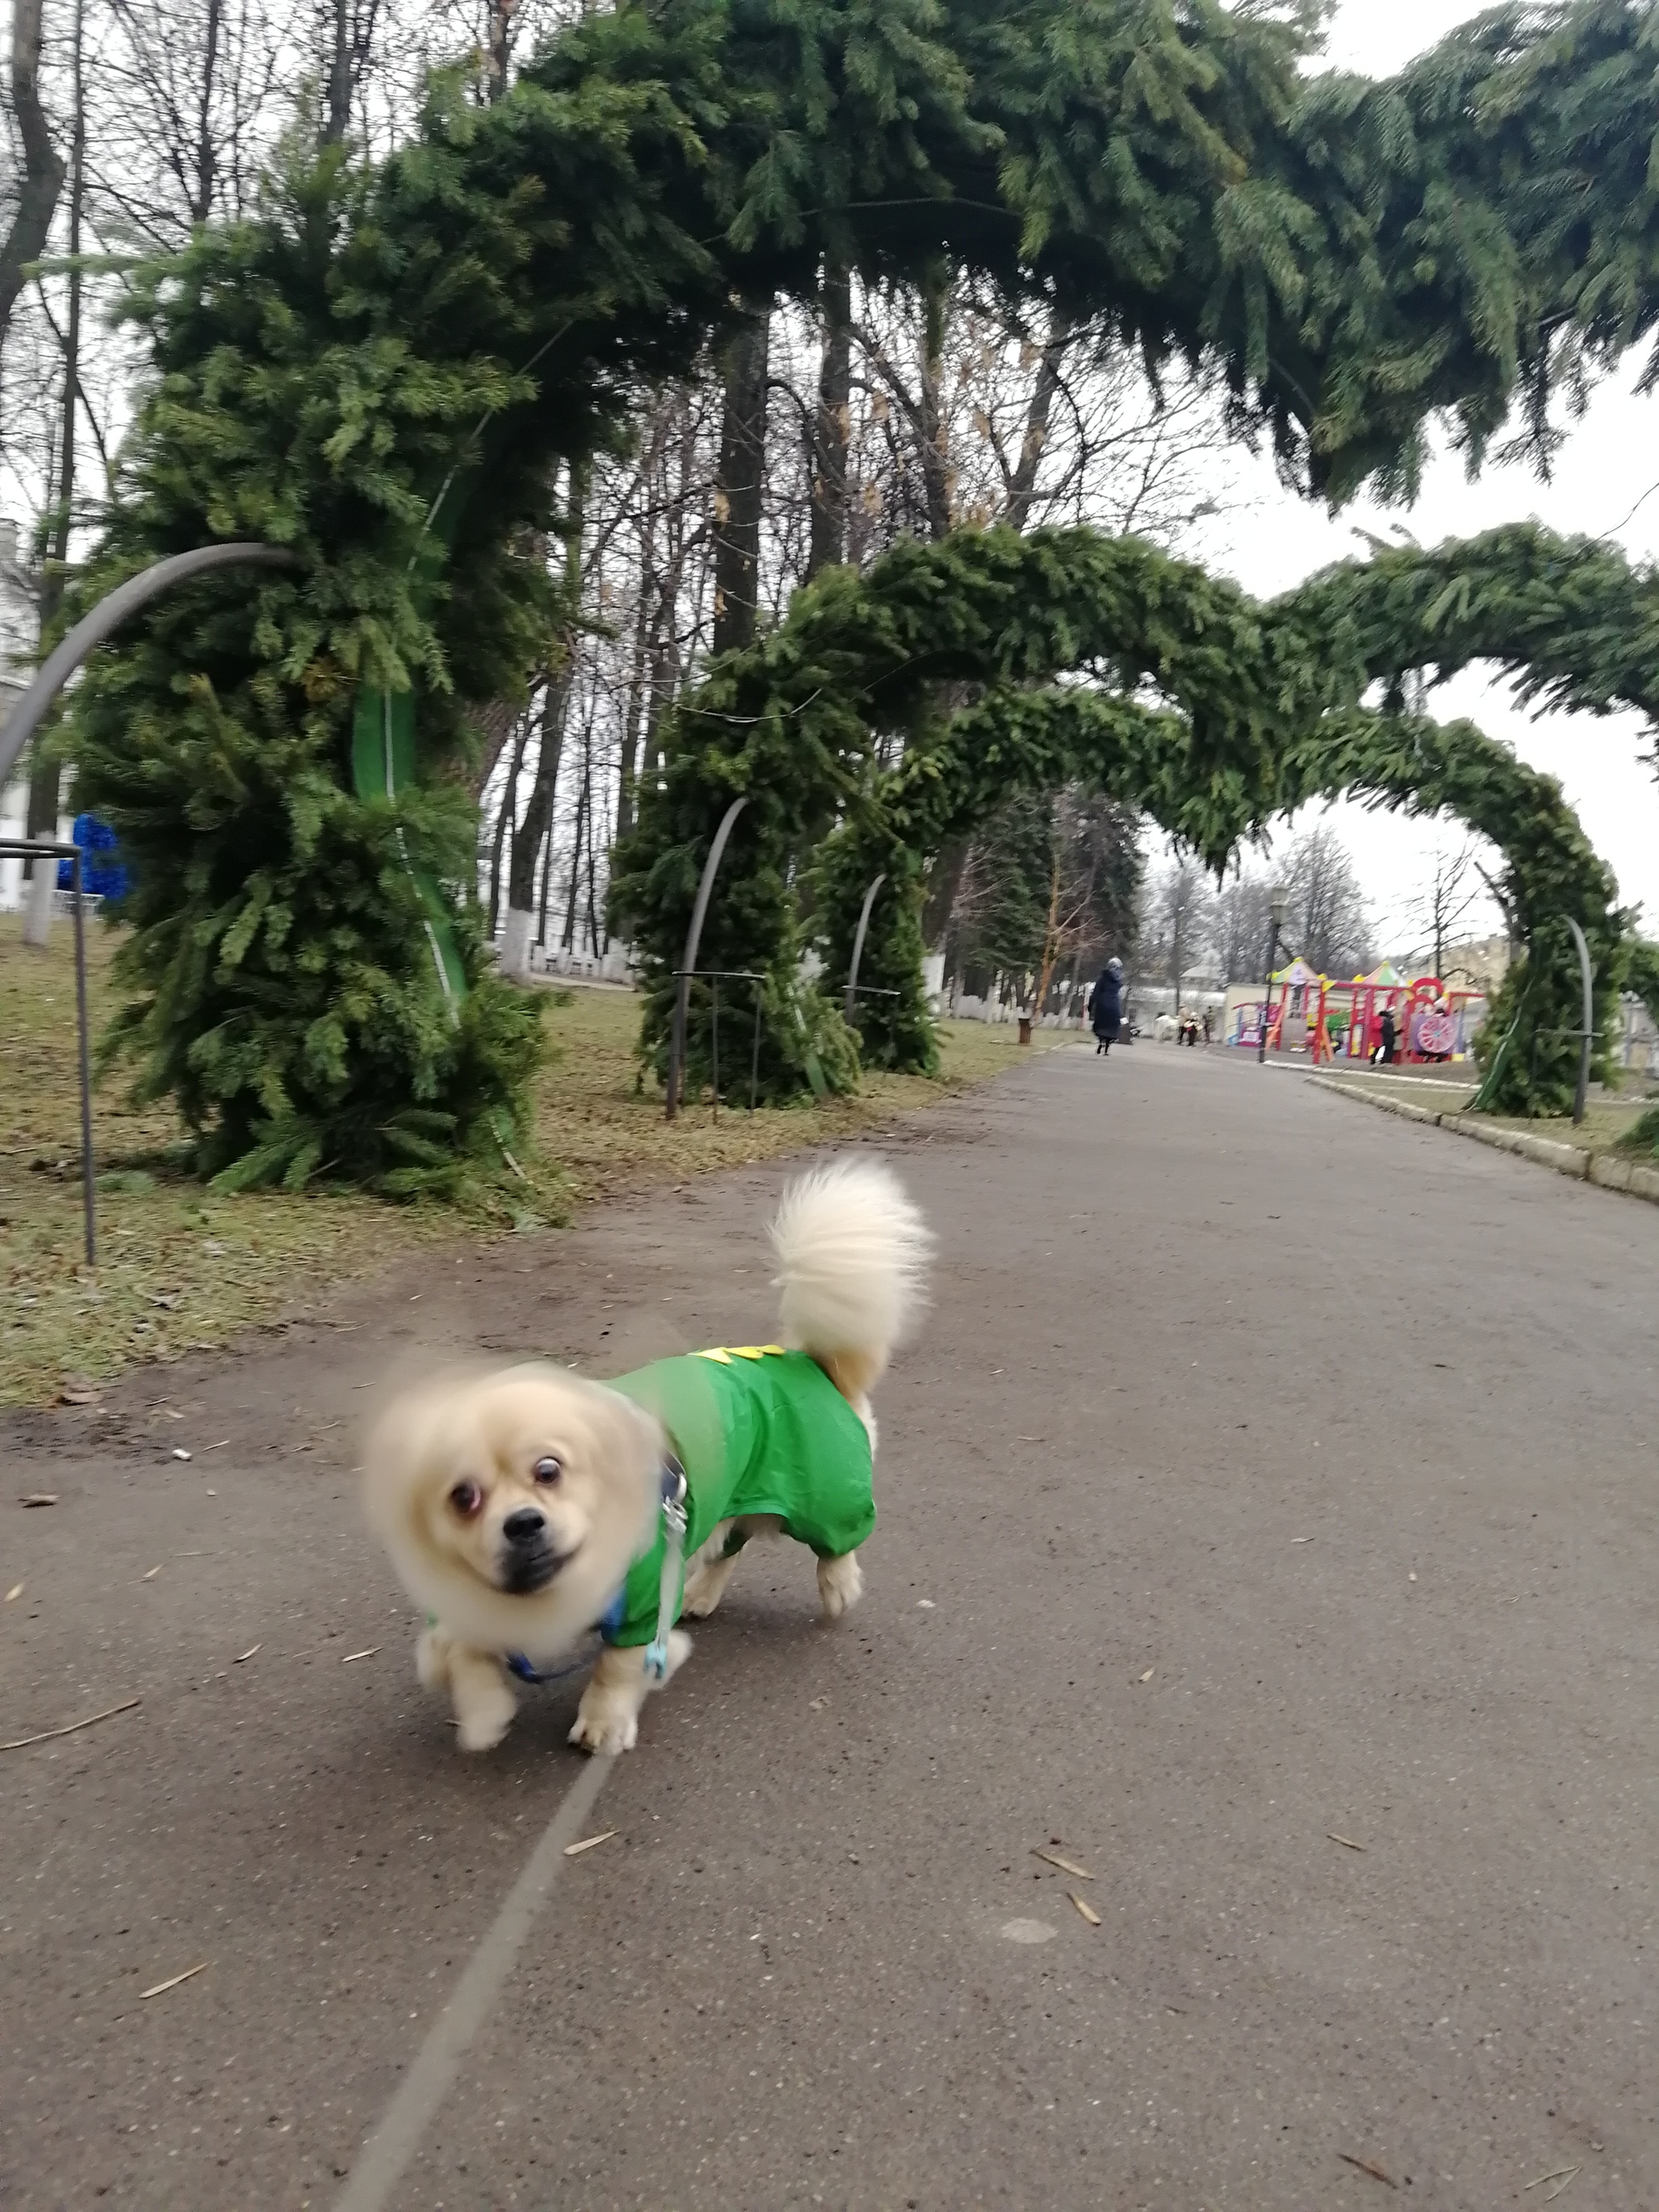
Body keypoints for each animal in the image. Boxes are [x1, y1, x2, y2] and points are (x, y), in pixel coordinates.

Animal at [362, 1159, 928, 1761]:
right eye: (462, 1497)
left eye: (548, 1470)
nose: (523, 1523)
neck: (547, 1590)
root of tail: (807, 1361)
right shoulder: (460, 1604)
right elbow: (457, 1654)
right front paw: (482, 1712)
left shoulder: (641, 1606)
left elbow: (615, 1668)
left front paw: (603, 1724)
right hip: (734, 1496)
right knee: (729, 1546)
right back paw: (701, 1594)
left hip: (823, 1493)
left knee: (835, 1545)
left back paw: (837, 1588)